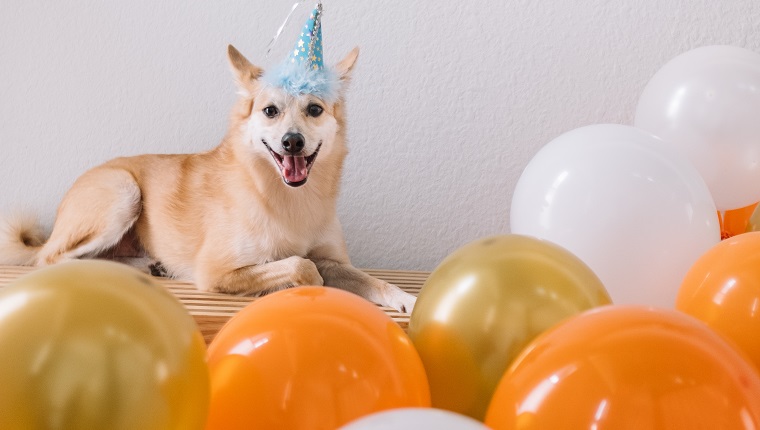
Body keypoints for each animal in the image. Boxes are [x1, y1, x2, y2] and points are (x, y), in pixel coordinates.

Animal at [0, 44, 416, 312]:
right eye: (270, 111)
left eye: (314, 109)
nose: (292, 141)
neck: (290, 199)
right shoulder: (218, 272)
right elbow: (301, 265)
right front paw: (294, 286)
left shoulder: (335, 260)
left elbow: (373, 280)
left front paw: (407, 300)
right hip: (122, 193)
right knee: (53, 260)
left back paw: (150, 266)